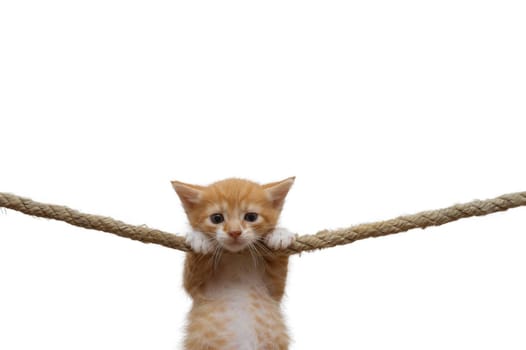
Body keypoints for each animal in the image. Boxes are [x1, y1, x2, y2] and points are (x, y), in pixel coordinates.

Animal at [173, 178, 296, 350]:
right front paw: (199, 238)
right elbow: (191, 273)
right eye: (216, 218)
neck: (236, 258)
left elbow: (278, 271)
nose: (234, 232)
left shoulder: (274, 288)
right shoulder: (196, 287)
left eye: (251, 217)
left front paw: (279, 233)